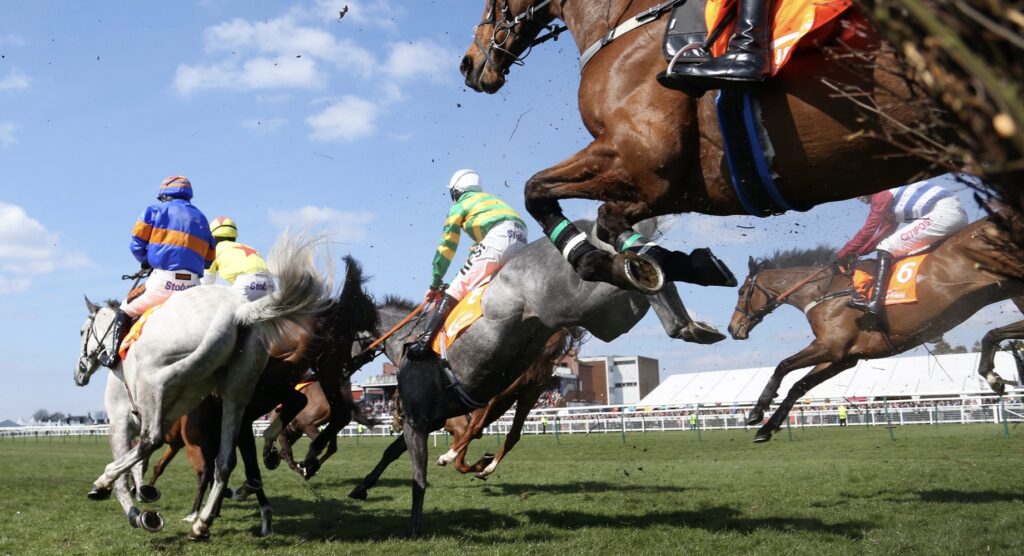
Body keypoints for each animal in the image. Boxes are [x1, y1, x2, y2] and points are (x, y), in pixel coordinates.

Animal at [76, 235, 331, 540]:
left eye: (82, 332)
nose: (79, 373)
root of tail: (235, 312)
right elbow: (144, 463)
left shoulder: (121, 421)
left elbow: (129, 471)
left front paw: (126, 504)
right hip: (236, 395)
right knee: (227, 461)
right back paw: (206, 521)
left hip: (165, 381)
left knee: (154, 439)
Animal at [344, 221, 720, 536]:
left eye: (340, 332)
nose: (343, 369)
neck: (409, 340)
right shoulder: (429, 421)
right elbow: (392, 453)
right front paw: (360, 488)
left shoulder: (421, 422)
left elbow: (418, 471)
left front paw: (415, 523)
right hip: (600, 322)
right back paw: (692, 292)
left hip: (580, 303)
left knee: (622, 269)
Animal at [464, 0, 942, 292]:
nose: (469, 63)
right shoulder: (687, 186)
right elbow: (600, 217)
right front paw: (689, 264)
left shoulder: (644, 162)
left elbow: (546, 195)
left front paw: (602, 263)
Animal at [729, 217, 1024, 444]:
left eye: (741, 291)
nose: (733, 328)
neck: (824, 291)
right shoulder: (843, 357)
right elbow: (798, 386)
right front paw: (766, 427)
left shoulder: (830, 346)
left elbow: (782, 366)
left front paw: (756, 412)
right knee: (997, 333)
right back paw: (992, 371)